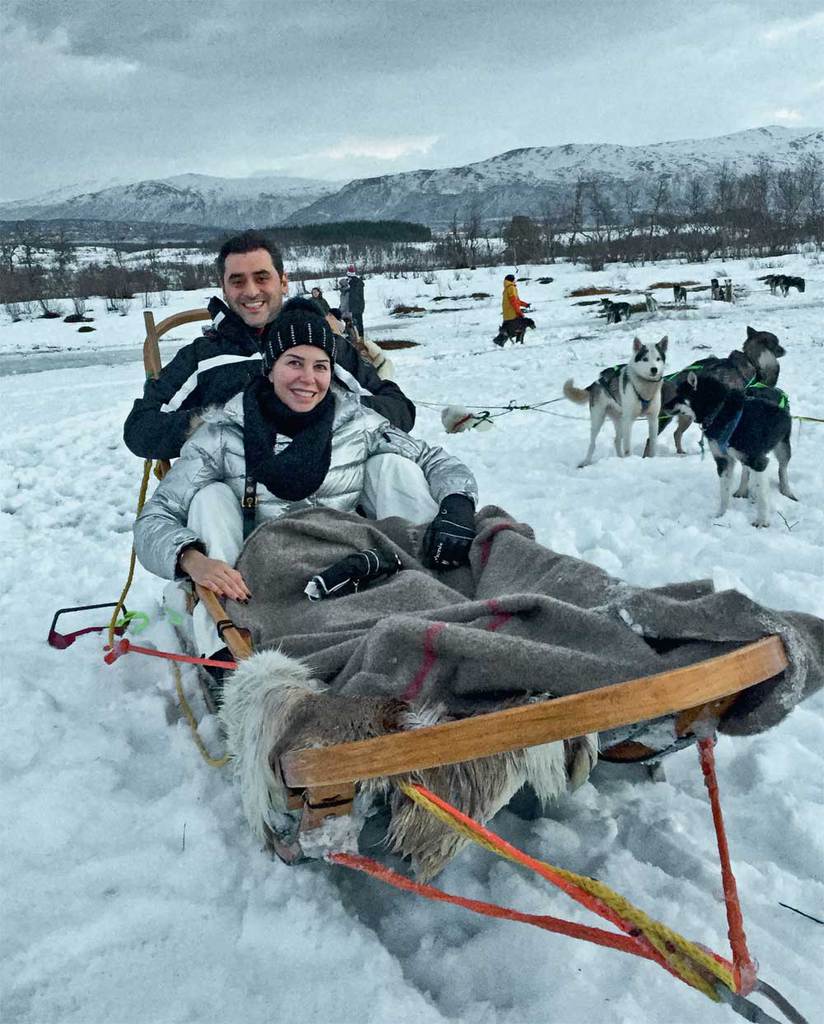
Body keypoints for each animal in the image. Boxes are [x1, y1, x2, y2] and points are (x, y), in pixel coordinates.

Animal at [560, 335, 667, 468]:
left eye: (658, 359)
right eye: (645, 359)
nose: (654, 369)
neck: (645, 389)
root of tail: (596, 383)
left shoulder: (653, 418)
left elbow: (652, 443)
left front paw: (651, 459)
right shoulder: (629, 420)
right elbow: (627, 447)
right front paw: (630, 460)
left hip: (620, 420)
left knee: (616, 440)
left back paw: (620, 459)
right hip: (599, 419)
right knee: (592, 444)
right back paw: (586, 462)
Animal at [655, 327, 786, 456]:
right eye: (776, 342)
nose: (784, 350)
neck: (750, 361)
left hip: (686, 417)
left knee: (676, 433)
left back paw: (680, 451)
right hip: (668, 418)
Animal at [667, 372, 798, 528]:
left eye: (679, 394)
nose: (664, 406)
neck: (720, 412)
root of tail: (774, 389)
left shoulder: (758, 461)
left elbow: (762, 495)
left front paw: (762, 521)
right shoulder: (723, 460)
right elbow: (724, 492)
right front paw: (722, 515)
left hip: (782, 447)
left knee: (782, 469)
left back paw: (786, 491)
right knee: (746, 470)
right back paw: (742, 490)